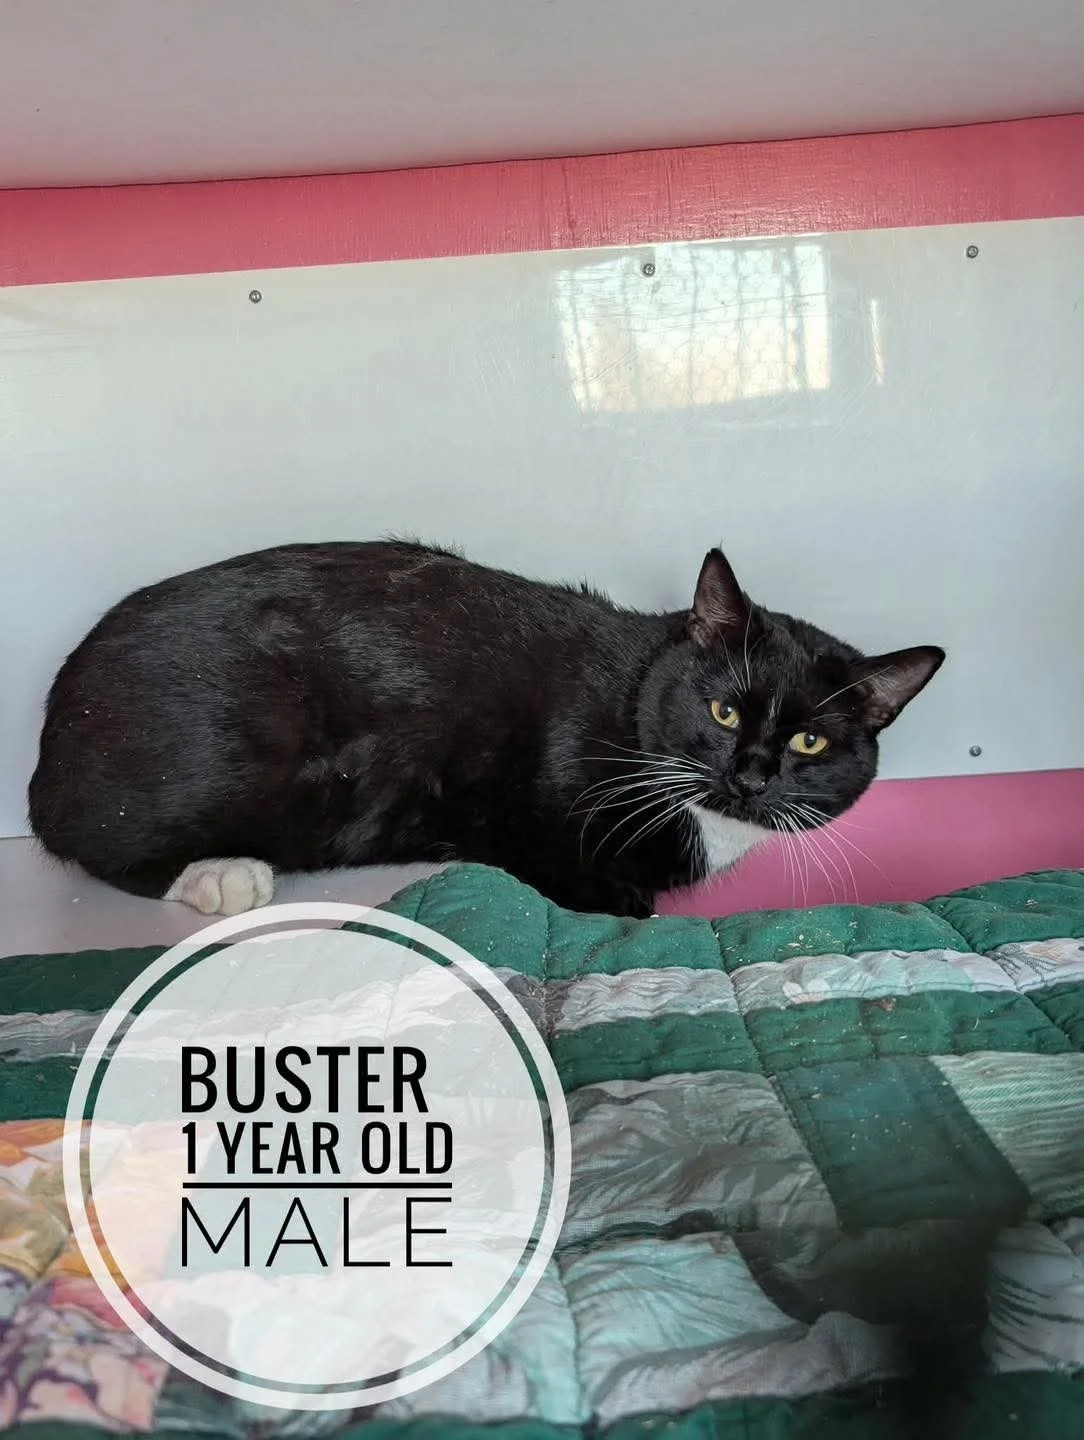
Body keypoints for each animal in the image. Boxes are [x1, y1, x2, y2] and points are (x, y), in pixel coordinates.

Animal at [28, 541, 944, 919]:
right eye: (724, 710)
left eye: (810, 744)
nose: (751, 773)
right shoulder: (529, 802)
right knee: (95, 839)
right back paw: (219, 875)